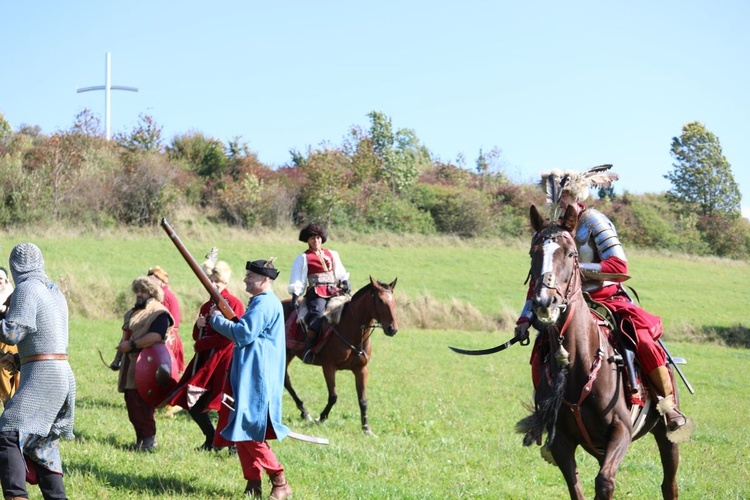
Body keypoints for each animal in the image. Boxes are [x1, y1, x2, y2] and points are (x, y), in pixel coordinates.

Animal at [284, 276, 400, 436]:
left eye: (394, 301)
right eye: (380, 301)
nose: (392, 329)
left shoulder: (361, 370)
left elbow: (363, 400)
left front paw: (366, 428)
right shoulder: (328, 367)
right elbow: (333, 396)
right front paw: (322, 418)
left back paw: (304, 411)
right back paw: (305, 412)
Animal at [520, 205, 684, 498]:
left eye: (571, 253)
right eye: (533, 253)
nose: (545, 302)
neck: (579, 362)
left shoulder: (621, 431)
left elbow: (605, 482)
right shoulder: (561, 443)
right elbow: (576, 486)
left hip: (666, 435)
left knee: (669, 483)